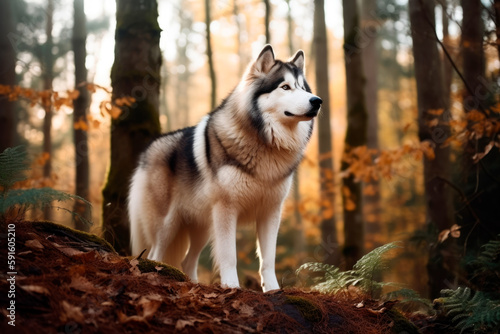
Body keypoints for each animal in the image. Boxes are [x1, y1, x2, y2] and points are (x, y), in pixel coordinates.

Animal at [129, 45, 322, 292]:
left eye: (303, 88)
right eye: (285, 87)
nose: (317, 101)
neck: (265, 144)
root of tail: (147, 151)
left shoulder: (271, 212)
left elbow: (268, 259)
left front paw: (273, 290)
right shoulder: (226, 210)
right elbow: (229, 256)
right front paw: (231, 287)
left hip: (201, 228)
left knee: (187, 261)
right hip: (167, 226)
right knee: (154, 255)